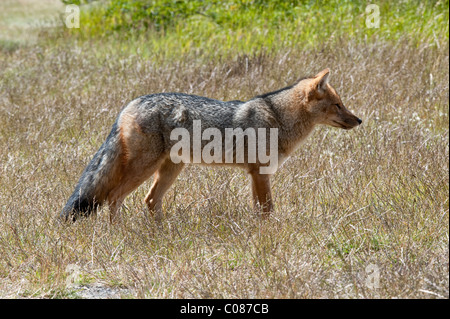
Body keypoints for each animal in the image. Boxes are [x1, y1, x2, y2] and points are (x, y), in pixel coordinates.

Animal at [59, 68, 362, 222]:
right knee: (114, 197)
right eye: (338, 105)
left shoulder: (256, 175)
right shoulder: (260, 173)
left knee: (149, 200)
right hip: (144, 169)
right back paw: (120, 232)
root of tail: (129, 105)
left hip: (170, 170)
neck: (278, 117)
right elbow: (268, 209)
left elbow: (260, 210)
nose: (359, 120)